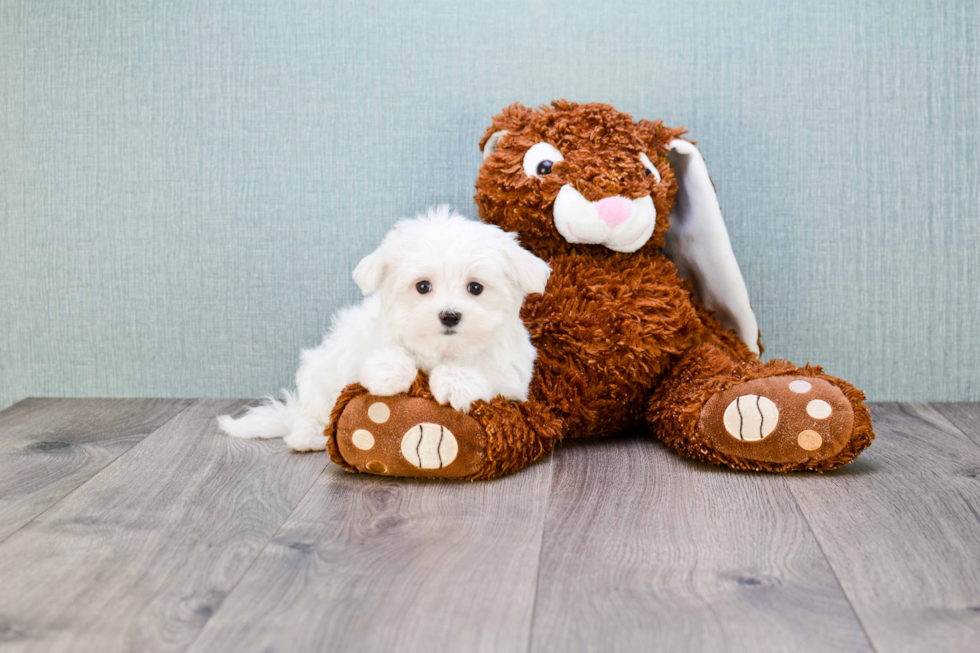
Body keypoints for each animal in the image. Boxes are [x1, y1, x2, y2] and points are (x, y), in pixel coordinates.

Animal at [216, 206, 552, 450]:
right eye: (423, 286)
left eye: (475, 288)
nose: (450, 315)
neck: (441, 350)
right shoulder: (362, 344)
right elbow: (381, 353)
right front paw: (391, 372)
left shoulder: (513, 376)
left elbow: (484, 368)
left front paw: (457, 382)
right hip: (318, 373)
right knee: (310, 411)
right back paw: (309, 435)